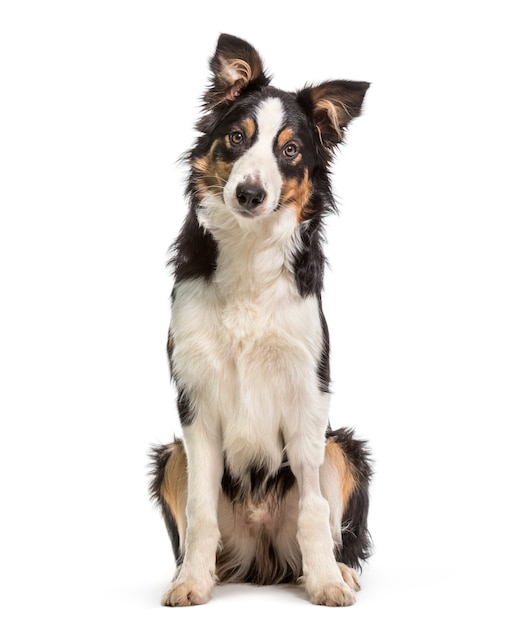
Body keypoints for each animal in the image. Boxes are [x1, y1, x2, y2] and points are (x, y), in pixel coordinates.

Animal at [150, 34, 374, 604]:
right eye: (236, 137)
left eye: (290, 150)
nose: (250, 193)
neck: (250, 251)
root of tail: (263, 561)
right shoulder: (195, 397)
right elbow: (199, 511)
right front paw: (191, 585)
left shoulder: (306, 390)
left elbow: (315, 510)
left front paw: (325, 583)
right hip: (172, 456)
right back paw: (195, 572)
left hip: (341, 446)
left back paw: (337, 571)